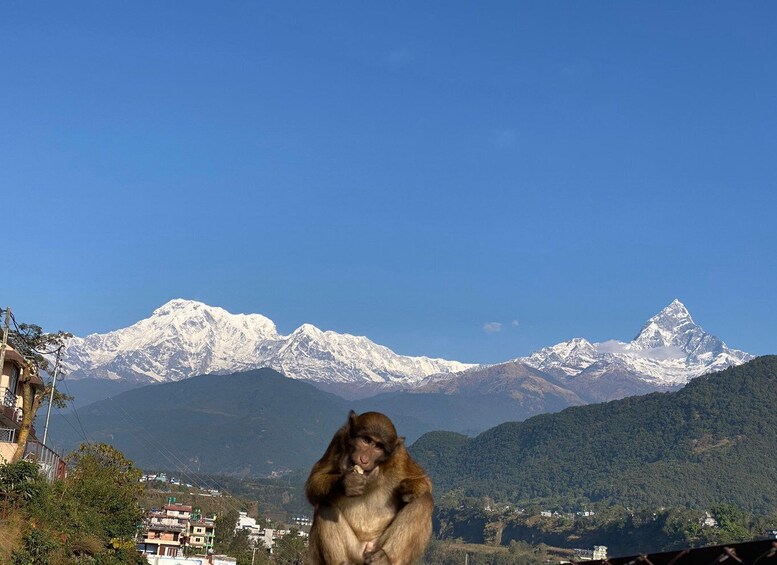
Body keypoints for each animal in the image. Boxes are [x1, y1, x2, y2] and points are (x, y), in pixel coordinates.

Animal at [304, 410, 436, 564]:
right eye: (366, 440)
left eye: (378, 447)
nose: (364, 460)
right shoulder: (339, 438)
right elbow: (315, 480)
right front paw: (346, 484)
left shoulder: (400, 456)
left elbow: (425, 483)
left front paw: (409, 488)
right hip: (355, 552)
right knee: (325, 505)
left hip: (378, 547)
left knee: (424, 500)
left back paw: (384, 559)